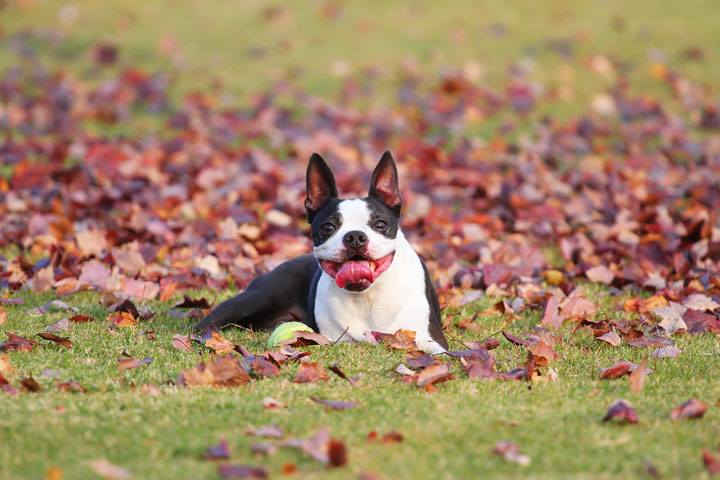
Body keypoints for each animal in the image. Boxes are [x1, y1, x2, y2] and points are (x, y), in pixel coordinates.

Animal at [194, 152, 448, 354]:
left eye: (380, 224)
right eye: (328, 227)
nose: (355, 236)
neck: (367, 297)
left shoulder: (432, 341)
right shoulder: (333, 338)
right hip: (258, 297)